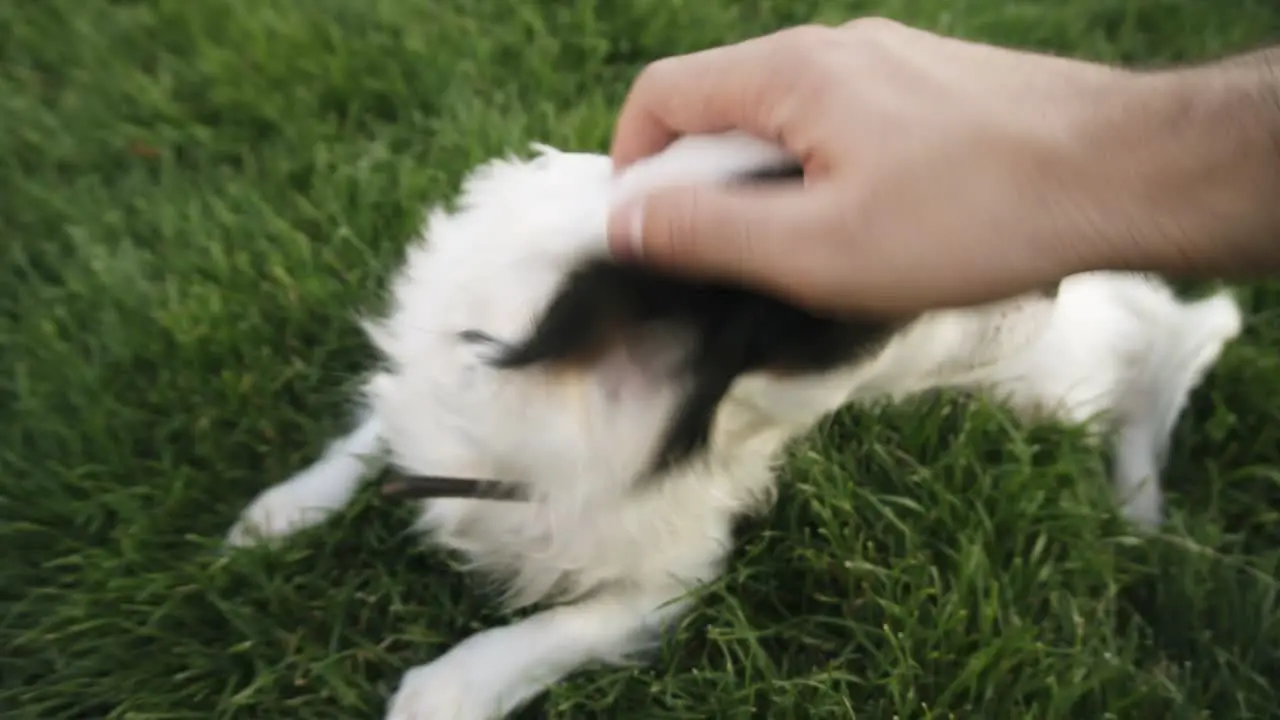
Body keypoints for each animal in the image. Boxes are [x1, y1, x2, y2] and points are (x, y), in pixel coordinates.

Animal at [225, 131, 1244, 712]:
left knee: (1165, 337)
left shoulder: (669, 576)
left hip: (1042, 377)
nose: (1042, 279)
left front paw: (445, 694)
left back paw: (1141, 499)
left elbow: (519, 645)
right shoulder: (432, 388)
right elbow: (374, 426)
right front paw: (284, 511)